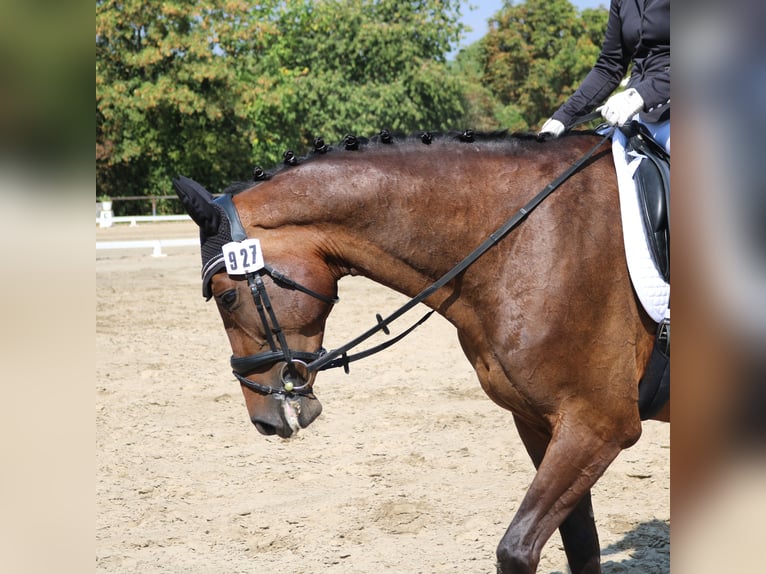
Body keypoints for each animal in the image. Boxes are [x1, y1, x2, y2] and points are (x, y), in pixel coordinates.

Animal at [174, 130, 672, 574]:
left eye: (226, 297)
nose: (263, 419)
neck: (524, 239)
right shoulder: (537, 422)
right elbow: (581, 544)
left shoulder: (598, 425)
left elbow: (516, 550)